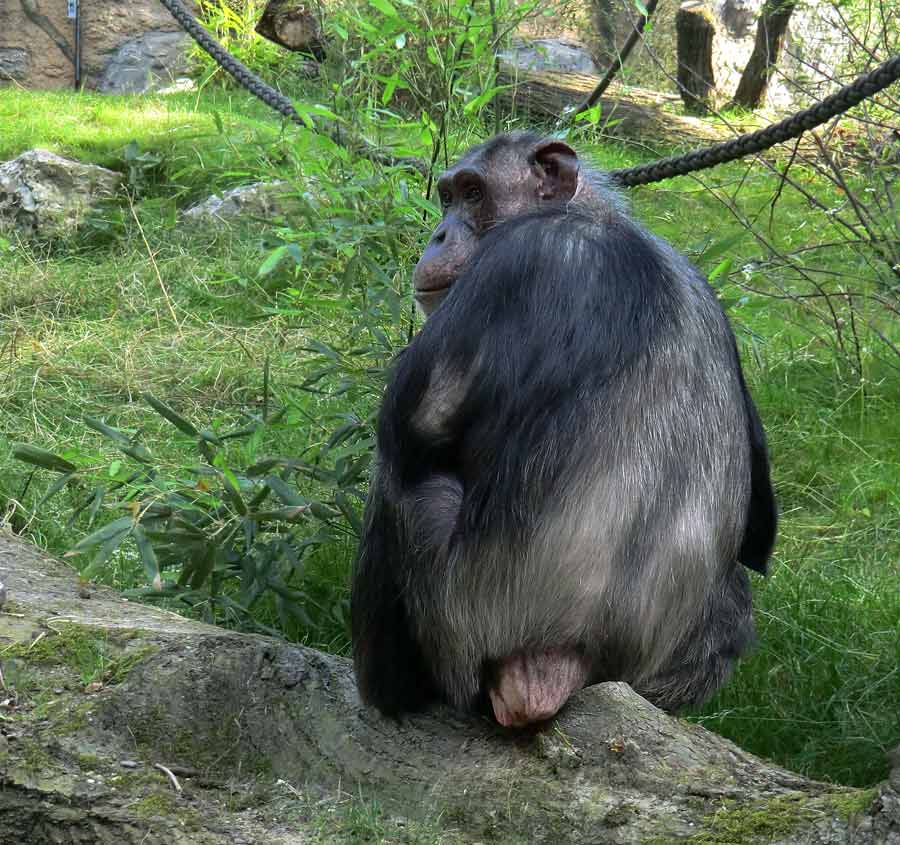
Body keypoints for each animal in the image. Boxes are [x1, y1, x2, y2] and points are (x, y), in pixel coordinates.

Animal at [350, 132, 772, 724]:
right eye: (447, 196)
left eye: (474, 193)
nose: (439, 233)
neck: (586, 214)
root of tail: (555, 671)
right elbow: (759, 535)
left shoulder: (509, 265)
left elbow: (410, 430)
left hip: (461, 632)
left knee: (406, 485)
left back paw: (385, 694)